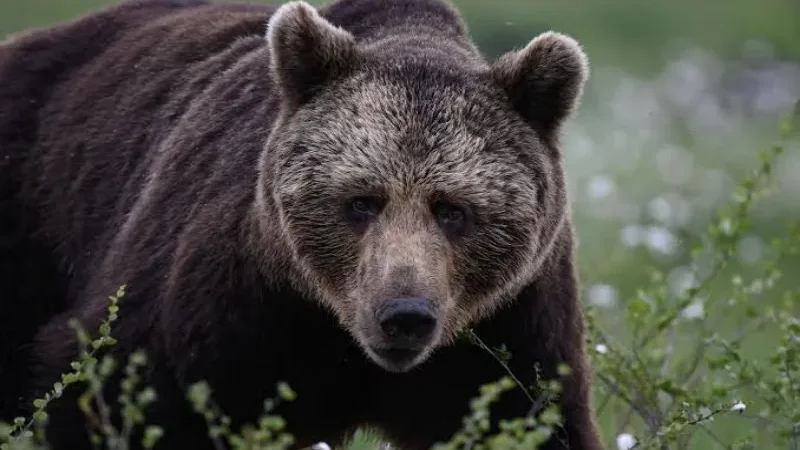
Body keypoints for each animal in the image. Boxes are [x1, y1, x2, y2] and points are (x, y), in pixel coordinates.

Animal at [0, 0, 605, 449]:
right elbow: (111, 388)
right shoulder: (218, 305)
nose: (404, 315)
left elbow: (537, 420)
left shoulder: (511, 327)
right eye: (362, 202)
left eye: (453, 209)